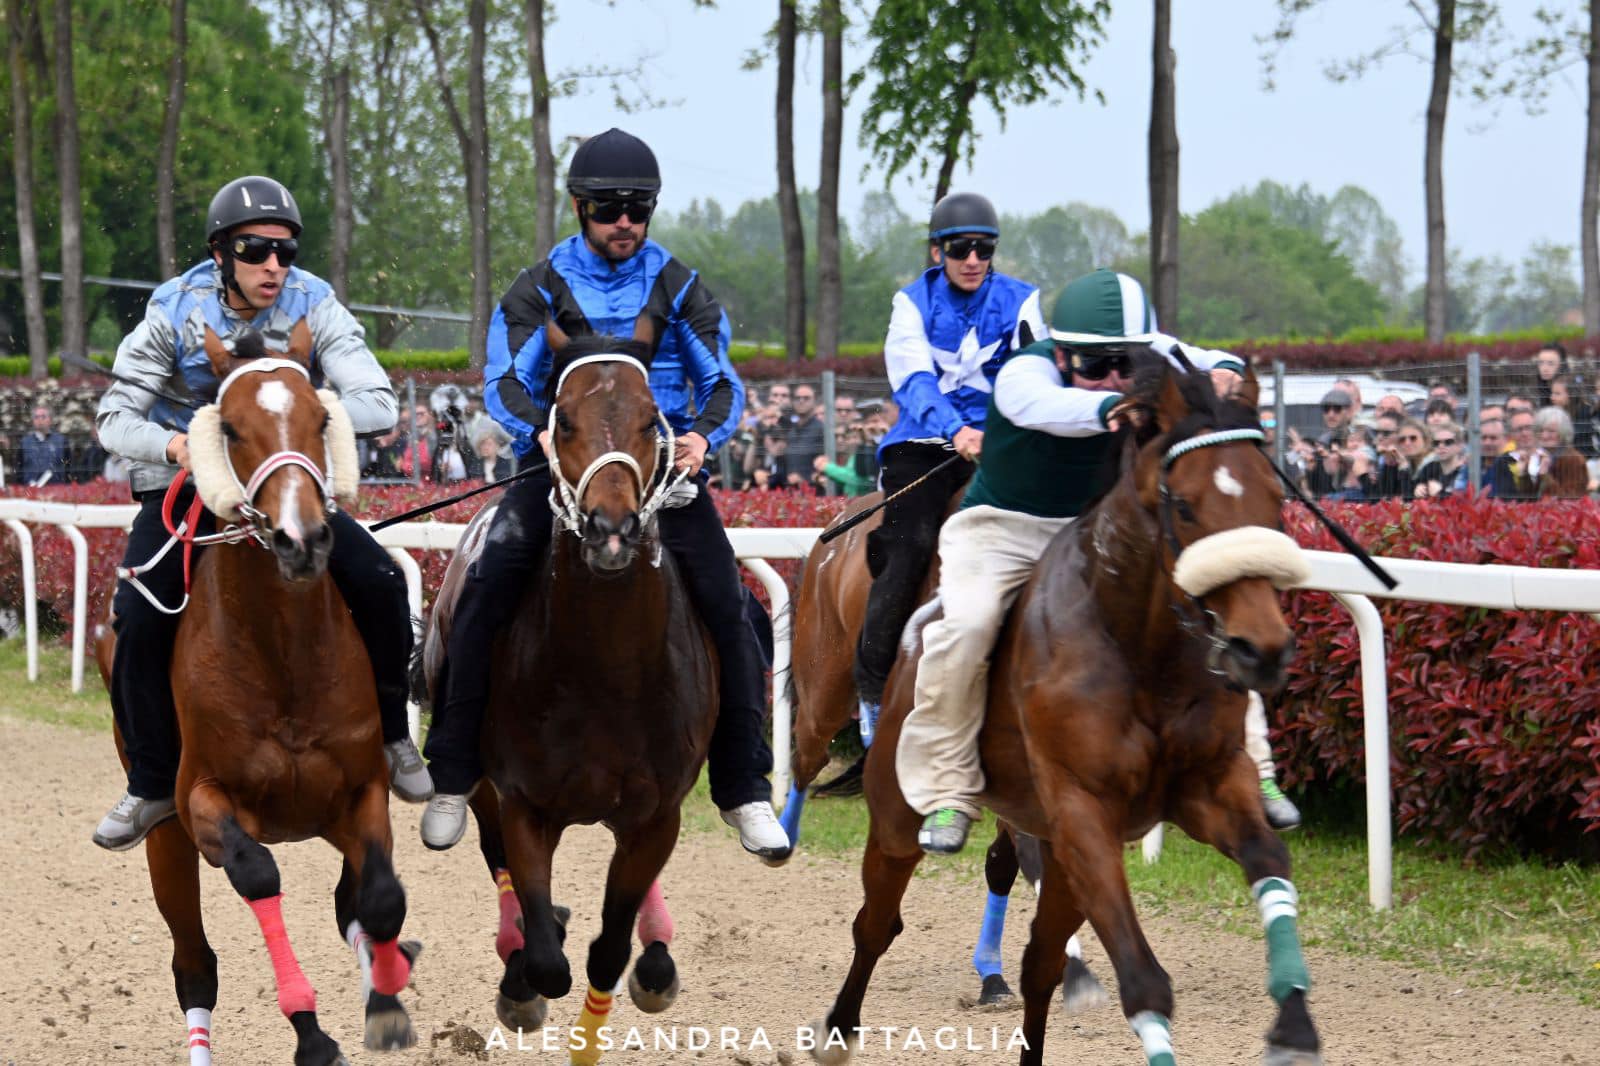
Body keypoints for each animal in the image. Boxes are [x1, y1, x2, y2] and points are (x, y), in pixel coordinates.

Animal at [419, 334, 713, 1062]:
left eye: (651, 421)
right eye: (567, 421)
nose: (611, 528)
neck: (607, 672)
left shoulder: (658, 812)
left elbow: (608, 948)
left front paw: (641, 964)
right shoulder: (523, 802)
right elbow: (548, 960)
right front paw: (526, 968)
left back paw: (654, 950)